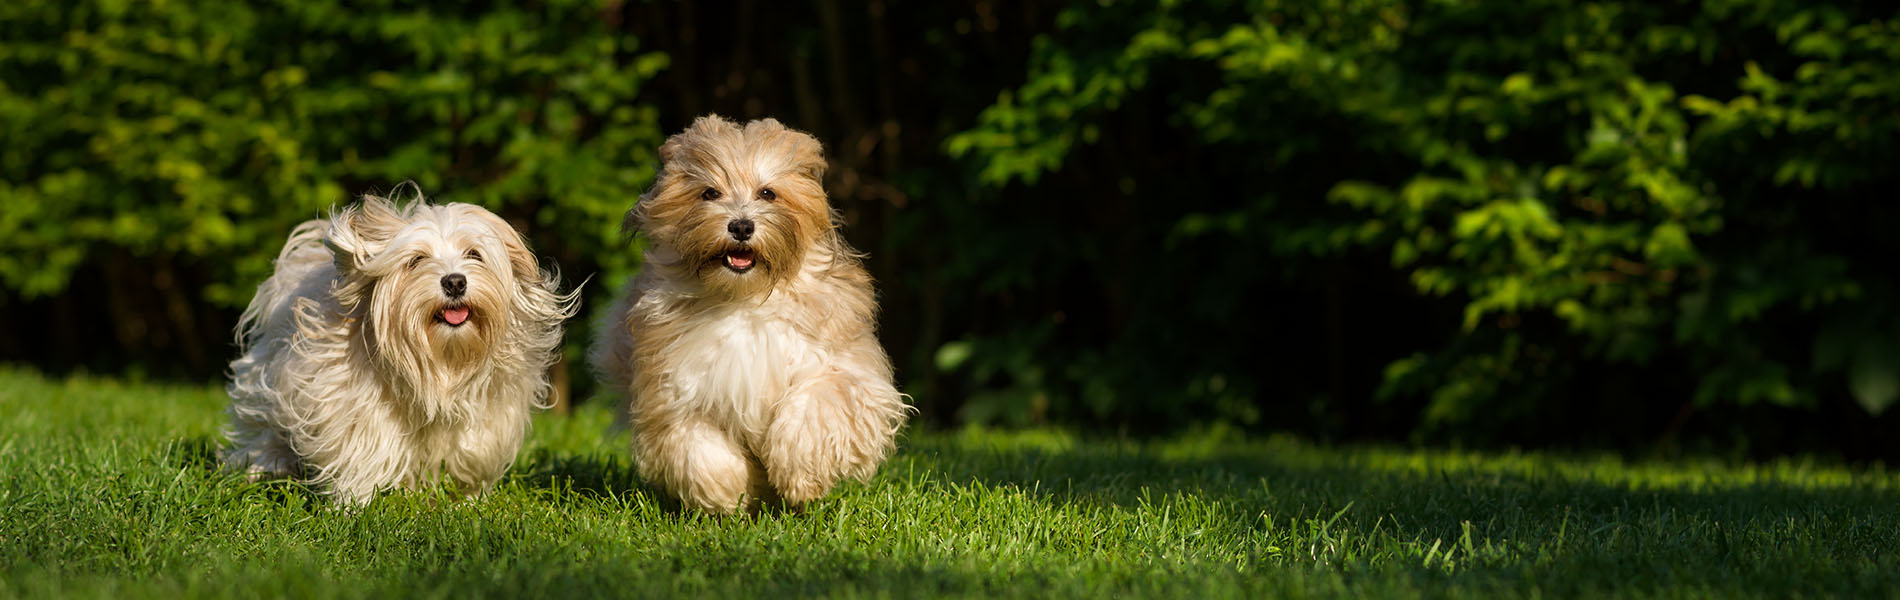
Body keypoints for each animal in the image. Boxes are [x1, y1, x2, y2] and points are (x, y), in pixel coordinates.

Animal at [221, 190, 570, 501]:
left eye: (474, 254)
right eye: (416, 260)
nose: (455, 282)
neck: (442, 361)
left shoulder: (488, 417)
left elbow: (471, 452)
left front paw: (467, 500)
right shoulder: (352, 404)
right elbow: (362, 451)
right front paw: (354, 506)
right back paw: (267, 467)